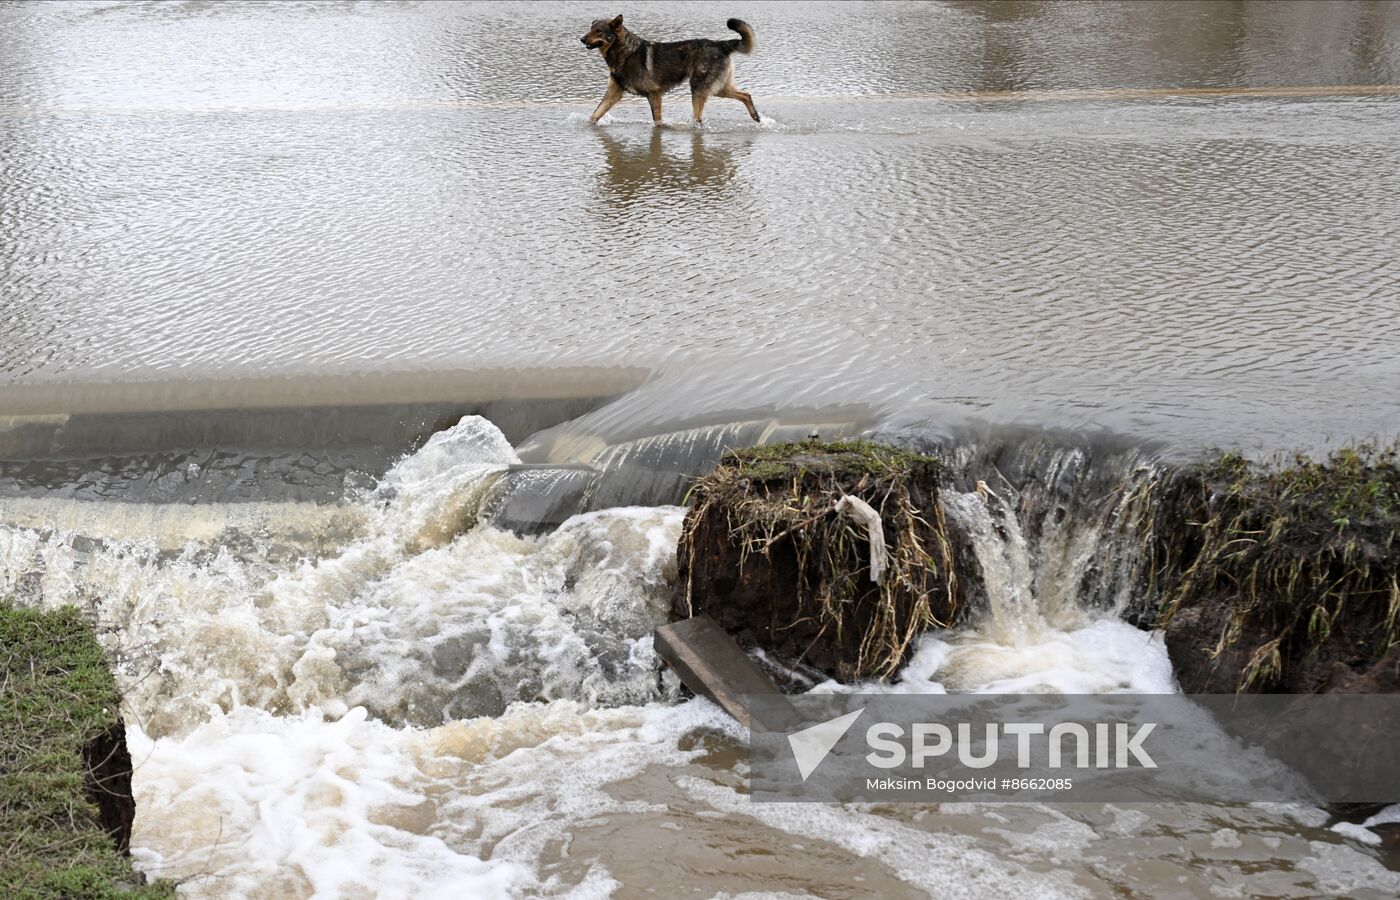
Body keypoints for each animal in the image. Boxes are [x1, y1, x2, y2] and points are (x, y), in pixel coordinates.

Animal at [579, 15, 761, 125]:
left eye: (598, 31)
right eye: (590, 28)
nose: (581, 39)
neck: (625, 52)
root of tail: (720, 44)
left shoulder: (654, 93)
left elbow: (658, 121)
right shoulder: (613, 94)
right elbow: (594, 115)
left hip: (699, 89)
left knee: (698, 118)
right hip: (718, 88)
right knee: (746, 95)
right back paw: (756, 117)